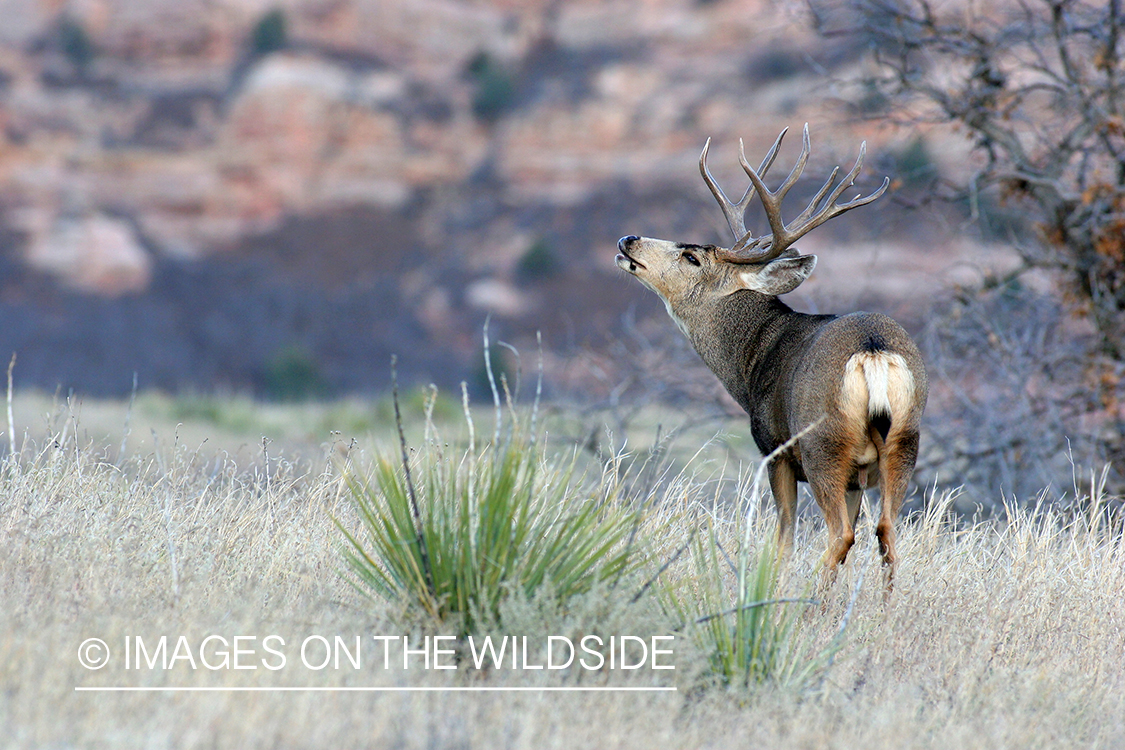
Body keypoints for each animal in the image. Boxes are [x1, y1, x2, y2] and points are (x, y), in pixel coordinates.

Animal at [621, 124, 927, 593]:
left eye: (692, 257)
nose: (628, 239)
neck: (753, 361)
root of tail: (872, 349)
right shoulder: (859, 476)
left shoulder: (775, 452)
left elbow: (783, 540)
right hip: (903, 442)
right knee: (885, 533)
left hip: (823, 444)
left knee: (841, 534)